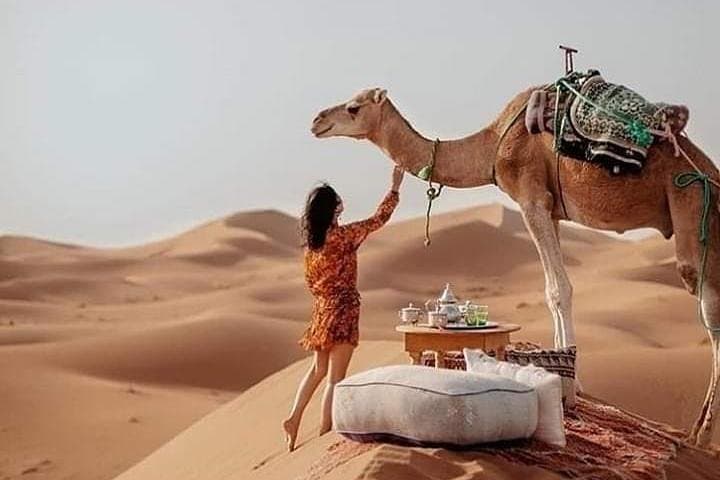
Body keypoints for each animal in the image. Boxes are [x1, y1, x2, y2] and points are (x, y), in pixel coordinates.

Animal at [310, 86, 720, 447]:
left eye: (353, 108)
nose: (317, 120)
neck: (493, 144)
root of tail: (711, 172)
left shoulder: (531, 197)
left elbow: (559, 289)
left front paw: (574, 387)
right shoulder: (552, 209)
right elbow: (553, 288)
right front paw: (566, 375)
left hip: (690, 203)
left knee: (708, 309)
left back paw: (702, 435)